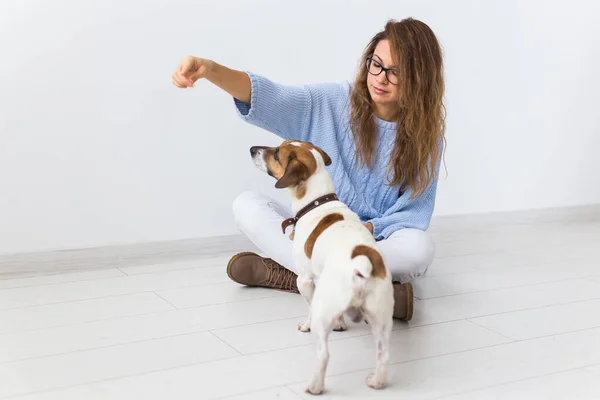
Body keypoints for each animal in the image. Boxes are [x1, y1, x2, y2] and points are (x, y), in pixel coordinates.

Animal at [248, 140, 394, 394]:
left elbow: (307, 305)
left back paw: (314, 386)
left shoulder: (305, 280)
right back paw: (377, 381)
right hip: (381, 317)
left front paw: (306, 325)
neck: (316, 203)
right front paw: (341, 324)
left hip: (324, 311)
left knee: (324, 354)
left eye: (276, 154)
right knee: (383, 354)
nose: (252, 149)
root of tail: (361, 263)